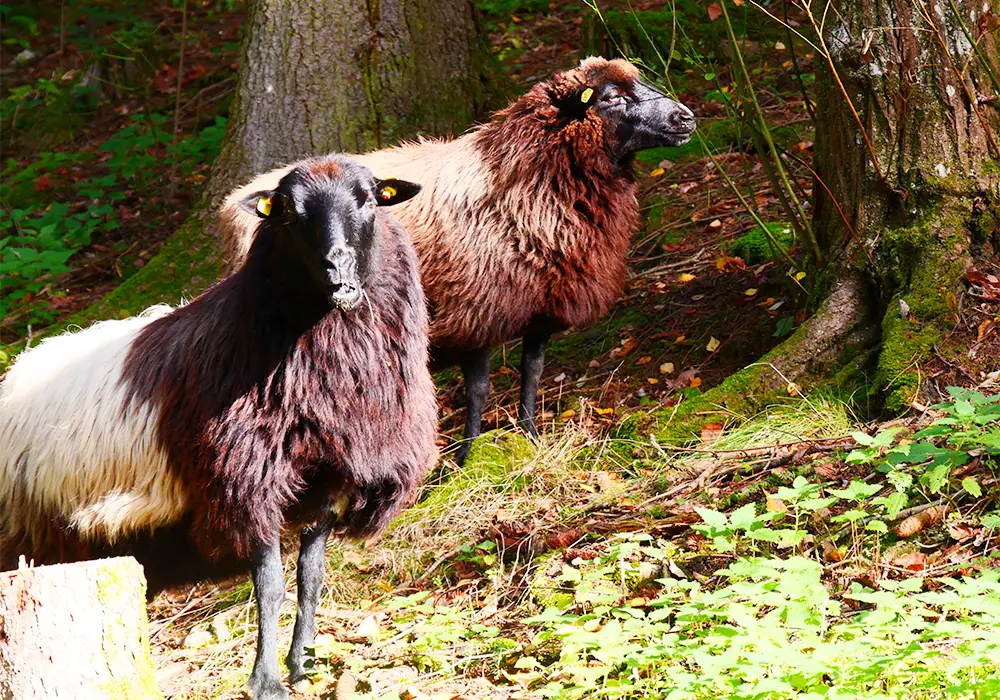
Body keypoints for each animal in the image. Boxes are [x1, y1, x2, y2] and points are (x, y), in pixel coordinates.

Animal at [0, 155, 435, 700]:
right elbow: (270, 584)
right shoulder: (248, 481)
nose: (337, 266)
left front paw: (303, 663)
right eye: (289, 211)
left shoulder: (326, 480)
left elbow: (311, 577)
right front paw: (266, 680)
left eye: (370, 199)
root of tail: (19, 371)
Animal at [219, 56, 696, 463]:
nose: (686, 117)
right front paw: (468, 456)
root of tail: (234, 202)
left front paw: (530, 435)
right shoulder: (475, 311)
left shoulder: (541, 302)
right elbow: (479, 389)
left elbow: (533, 370)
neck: (527, 177)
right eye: (611, 97)